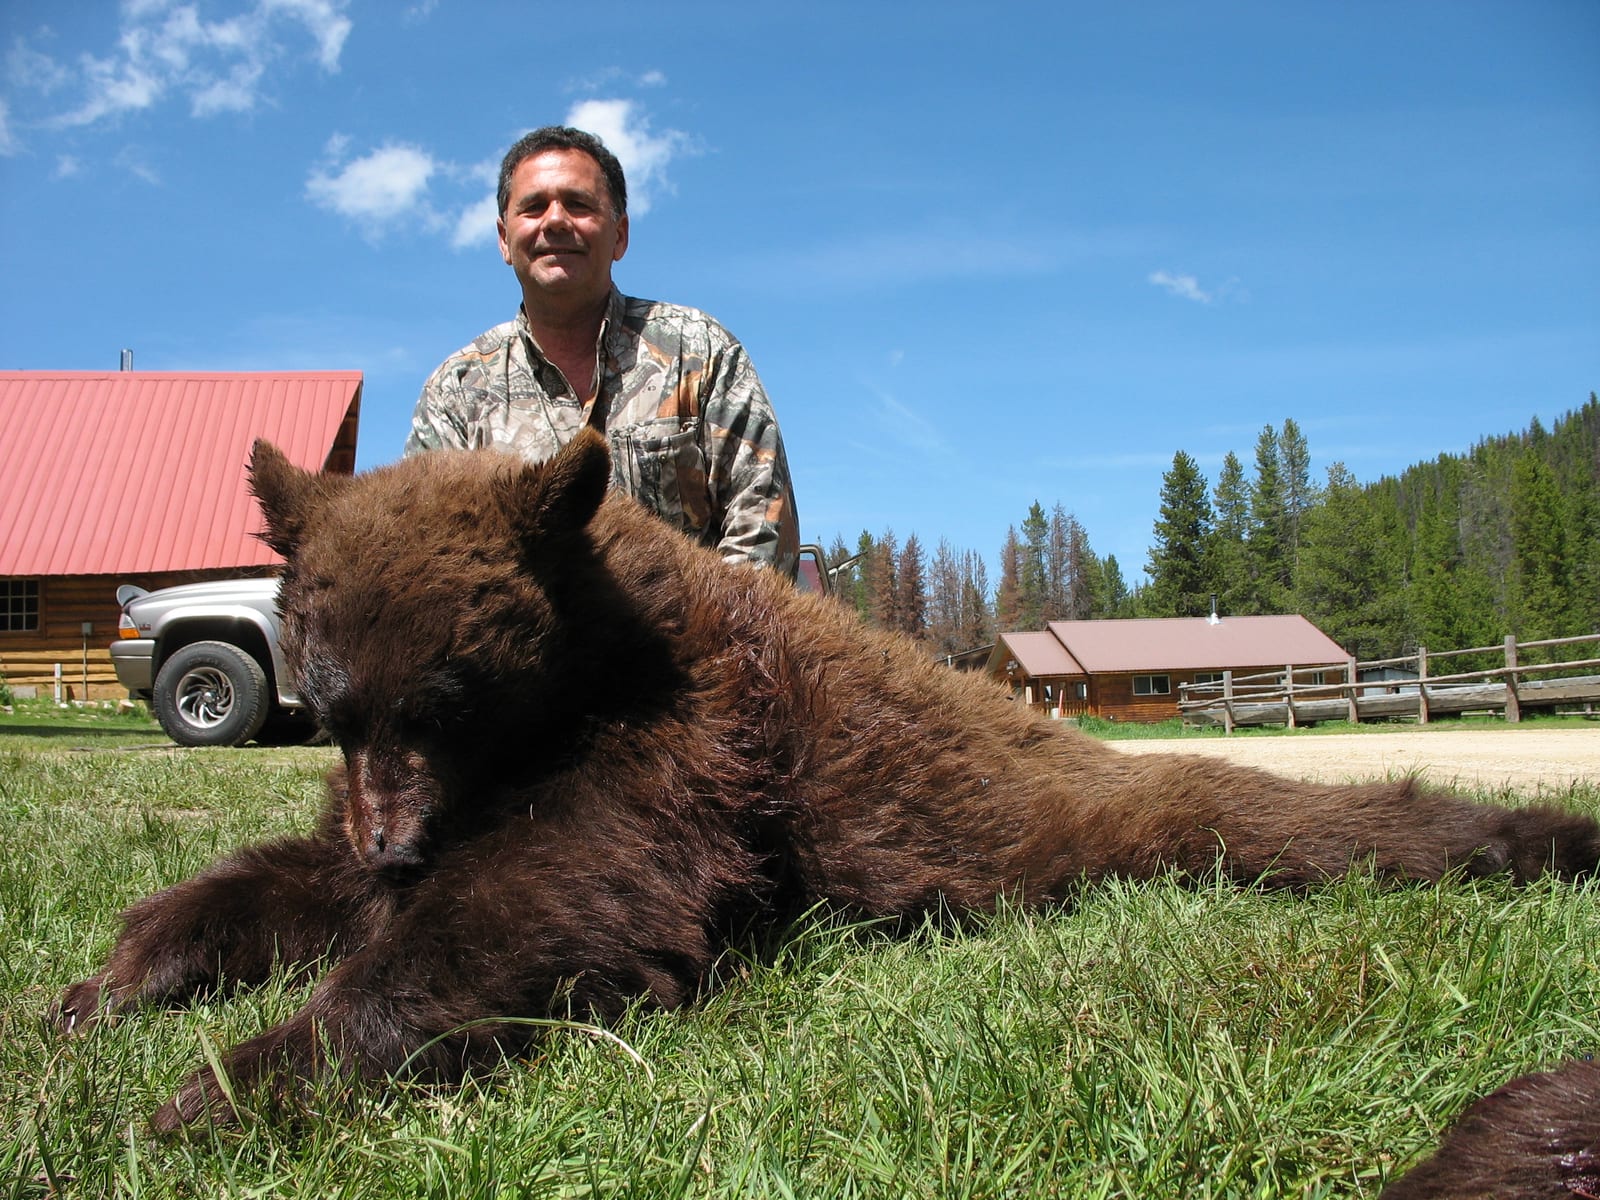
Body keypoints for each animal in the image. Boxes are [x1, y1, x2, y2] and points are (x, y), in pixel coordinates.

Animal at [54, 429, 1600, 1135]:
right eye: (331, 706)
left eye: (454, 698)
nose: (392, 850)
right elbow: (269, 879)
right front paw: (113, 982)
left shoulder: (698, 744)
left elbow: (551, 904)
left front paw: (232, 1081)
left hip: (1150, 818)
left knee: (1330, 823)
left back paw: (1543, 834)